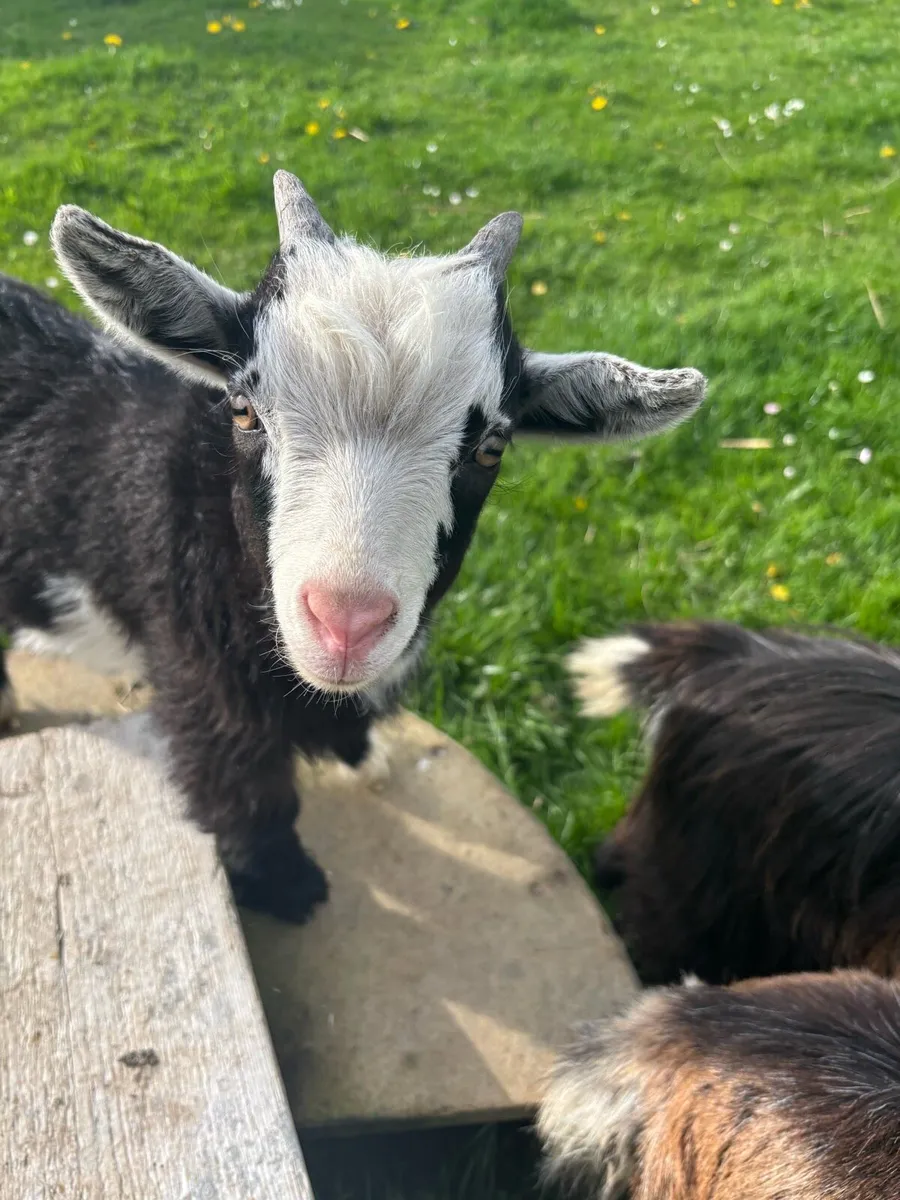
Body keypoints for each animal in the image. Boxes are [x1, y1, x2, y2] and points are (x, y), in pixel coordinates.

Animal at [0, 172, 706, 922]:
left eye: (491, 445)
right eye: (244, 411)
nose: (346, 625)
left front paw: (359, 753)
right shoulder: (200, 681)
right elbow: (239, 786)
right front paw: (284, 884)